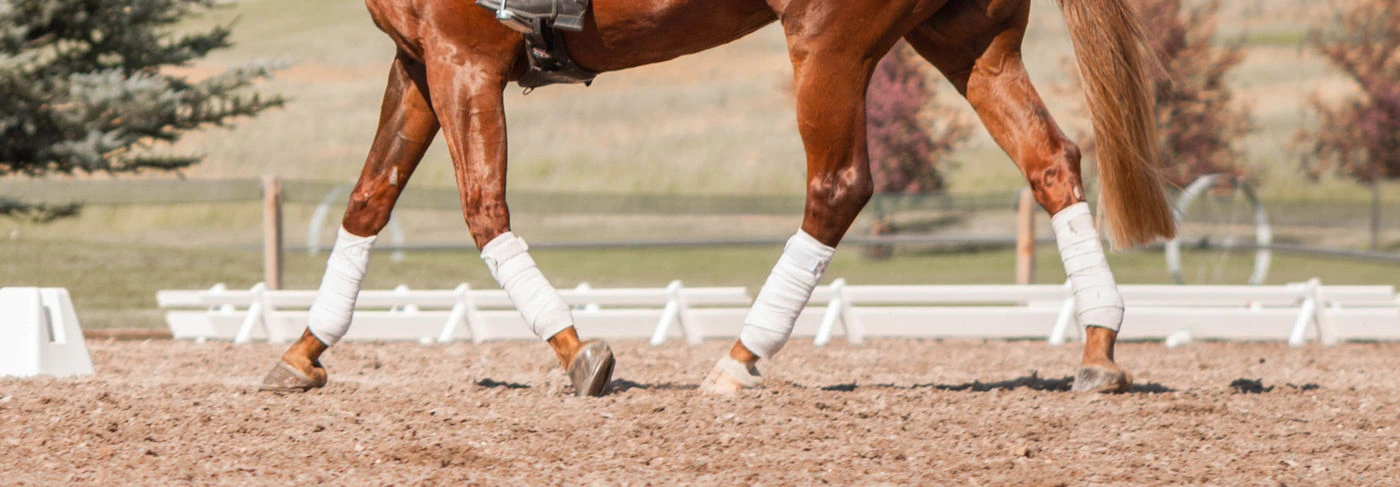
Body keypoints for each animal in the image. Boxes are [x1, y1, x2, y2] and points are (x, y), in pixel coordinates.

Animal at [258, 0, 1176, 397]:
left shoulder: (462, 61)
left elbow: (484, 212)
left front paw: (580, 352)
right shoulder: (421, 61)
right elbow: (369, 200)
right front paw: (303, 351)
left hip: (828, 43)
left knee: (837, 187)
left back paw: (739, 359)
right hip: (966, 37)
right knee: (1050, 160)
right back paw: (1100, 347)